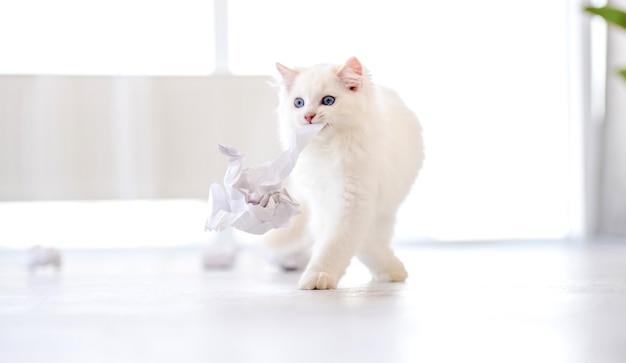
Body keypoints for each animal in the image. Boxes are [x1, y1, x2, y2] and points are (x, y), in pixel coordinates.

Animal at [264, 57, 424, 290]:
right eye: (299, 103)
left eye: (328, 101)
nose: (308, 116)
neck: (329, 150)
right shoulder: (323, 203)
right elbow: (337, 241)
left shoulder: (354, 200)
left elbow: (339, 243)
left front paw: (318, 276)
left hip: (386, 209)